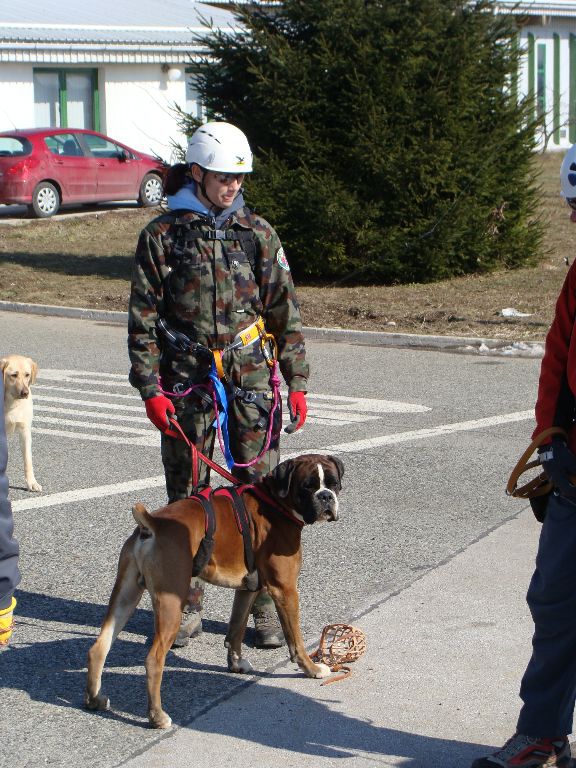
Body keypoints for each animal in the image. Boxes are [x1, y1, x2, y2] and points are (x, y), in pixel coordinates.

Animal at [1, 354, 41, 492]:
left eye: (27, 374)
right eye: (14, 375)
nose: (25, 393)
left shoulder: (25, 431)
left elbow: (28, 461)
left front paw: (32, 483)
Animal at [84, 452, 342, 728]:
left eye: (333, 483)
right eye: (308, 486)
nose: (326, 496)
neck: (274, 501)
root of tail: (152, 524)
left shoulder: (247, 589)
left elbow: (236, 628)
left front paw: (236, 664)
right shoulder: (285, 590)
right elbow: (296, 640)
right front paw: (312, 669)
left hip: (125, 596)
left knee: (98, 647)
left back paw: (95, 700)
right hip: (170, 603)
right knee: (153, 659)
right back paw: (157, 716)